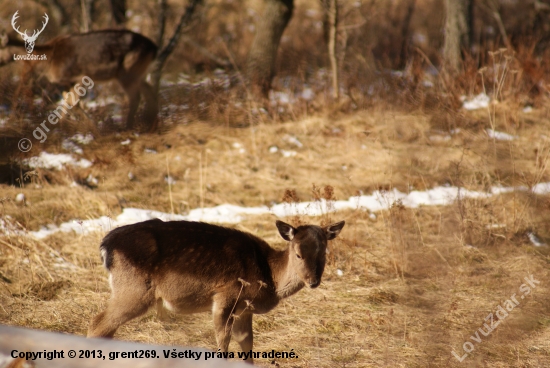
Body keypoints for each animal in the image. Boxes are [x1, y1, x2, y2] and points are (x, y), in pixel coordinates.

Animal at [2, 19, 158, 131]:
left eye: (0, 47)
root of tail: (154, 47)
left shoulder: (75, 76)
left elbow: (74, 103)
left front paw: (94, 128)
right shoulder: (68, 81)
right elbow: (67, 102)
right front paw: (60, 127)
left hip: (127, 72)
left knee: (136, 97)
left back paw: (128, 127)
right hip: (138, 72)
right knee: (150, 91)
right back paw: (151, 124)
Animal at [88, 217, 348, 364]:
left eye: (324, 253)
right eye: (298, 254)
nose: (313, 281)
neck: (268, 276)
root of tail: (105, 246)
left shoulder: (245, 309)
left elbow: (247, 344)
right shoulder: (226, 295)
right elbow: (223, 341)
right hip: (134, 290)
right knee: (97, 324)